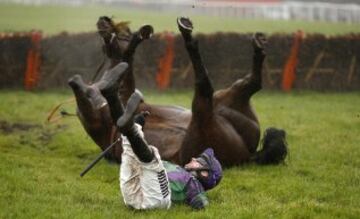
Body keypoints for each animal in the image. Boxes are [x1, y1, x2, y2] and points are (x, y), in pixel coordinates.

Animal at [68, 16, 286, 168]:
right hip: (210, 120)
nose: (104, 21)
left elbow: (127, 61)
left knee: (241, 84)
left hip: (220, 109)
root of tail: (249, 155)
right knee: (214, 88)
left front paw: (135, 39)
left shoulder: (125, 96)